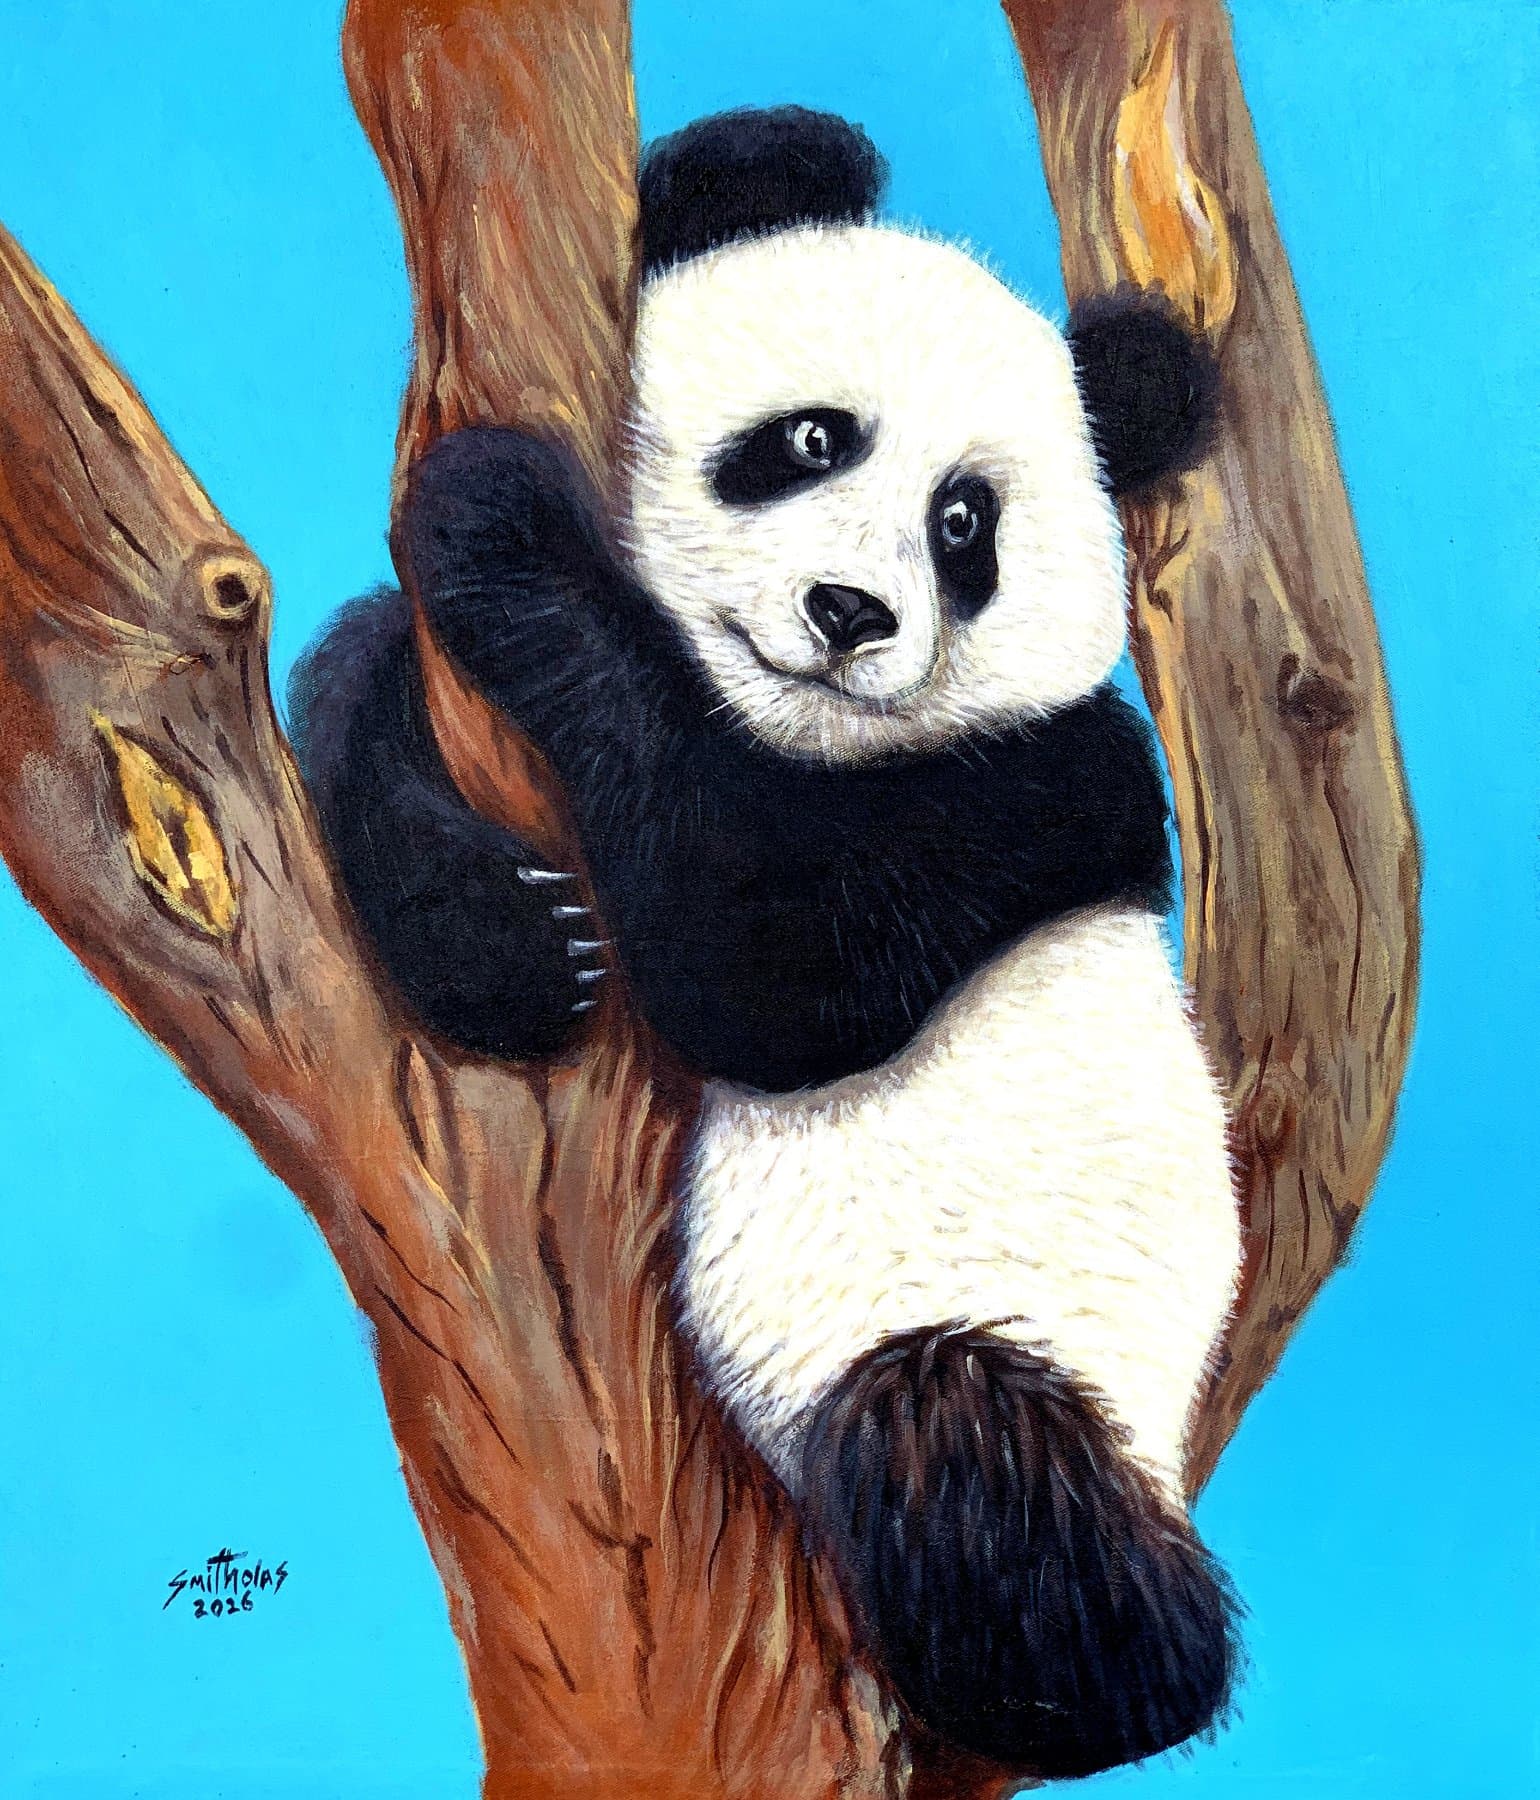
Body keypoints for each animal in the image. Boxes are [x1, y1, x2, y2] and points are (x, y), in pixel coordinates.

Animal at [293, 107, 1241, 1779]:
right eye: (812, 441)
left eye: (964, 524)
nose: (852, 613)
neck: (787, 733)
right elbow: (361, 682)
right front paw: (510, 945)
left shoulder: (1055, 781)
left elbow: (766, 967)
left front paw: (502, 526)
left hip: (1056, 1367)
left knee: (967, 1447)